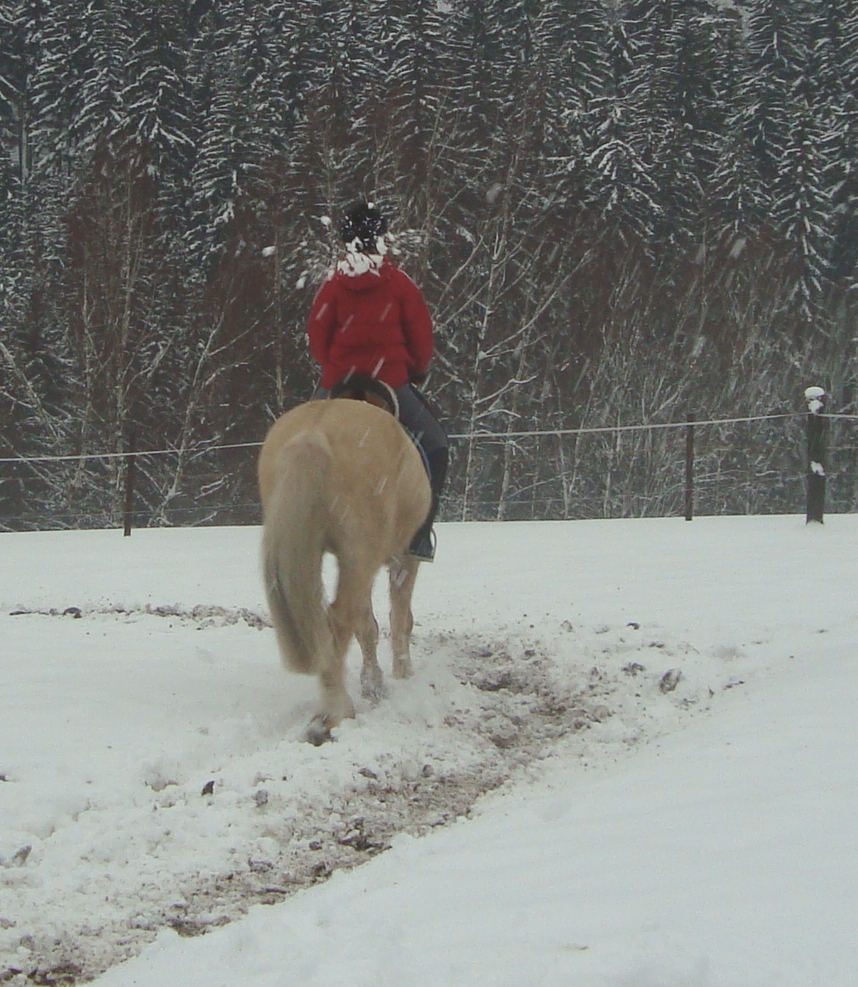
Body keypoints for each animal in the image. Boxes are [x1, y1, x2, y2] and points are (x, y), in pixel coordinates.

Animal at [254, 398, 428, 744]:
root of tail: (314, 431)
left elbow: (368, 626)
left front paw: (374, 684)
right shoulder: (404, 559)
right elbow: (400, 620)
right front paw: (402, 675)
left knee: (333, 620)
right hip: (360, 554)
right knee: (338, 617)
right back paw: (334, 713)